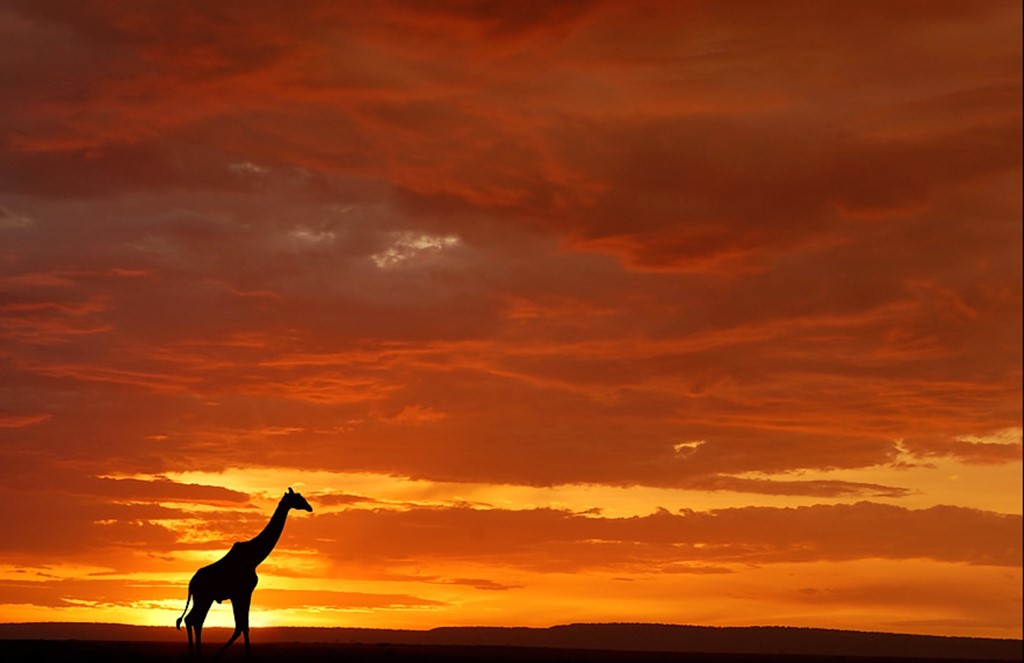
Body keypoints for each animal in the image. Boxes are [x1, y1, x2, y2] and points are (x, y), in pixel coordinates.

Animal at [175, 487, 313, 658]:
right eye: (298, 498)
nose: (309, 507)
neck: (254, 558)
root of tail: (191, 583)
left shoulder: (239, 594)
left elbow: (240, 626)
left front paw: (223, 654)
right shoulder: (243, 592)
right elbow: (243, 626)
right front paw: (243, 655)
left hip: (204, 598)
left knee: (194, 620)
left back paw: (197, 654)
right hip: (204, 597)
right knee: (194, 620)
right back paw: (197, 655)